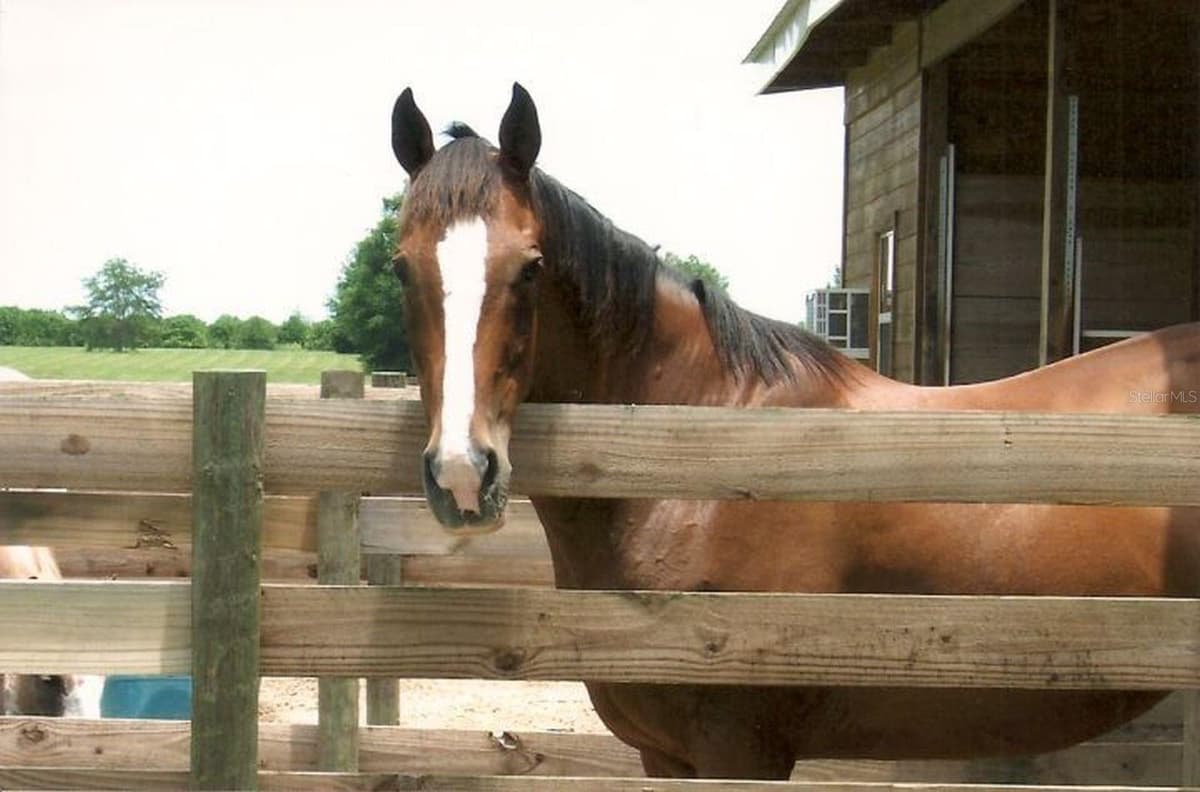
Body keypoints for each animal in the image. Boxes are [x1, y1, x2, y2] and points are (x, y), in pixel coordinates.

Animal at [387, 83, 1200, 779]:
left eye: (529, 268)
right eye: (400, 269)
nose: (463, 473)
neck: (700, 459)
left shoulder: (739, 748)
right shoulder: (666, 754)